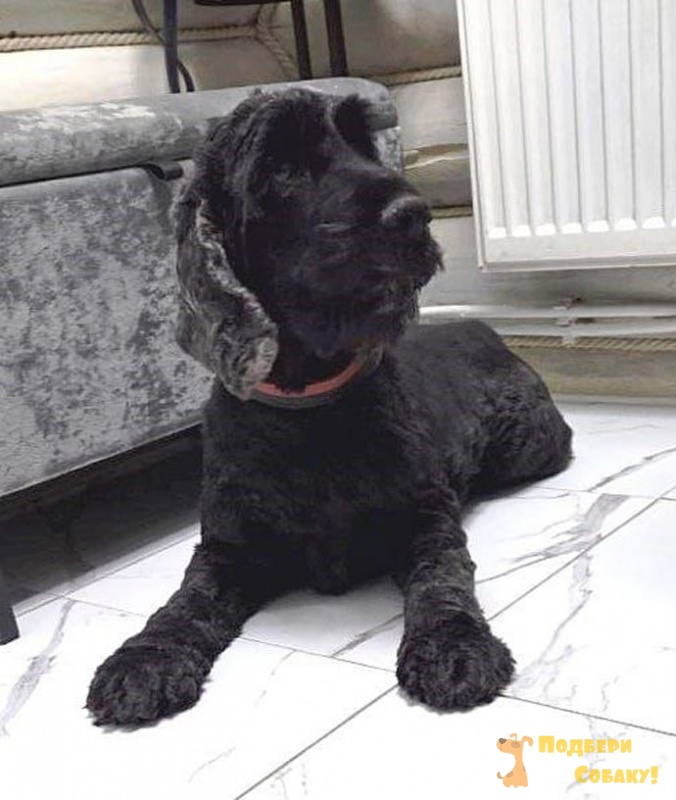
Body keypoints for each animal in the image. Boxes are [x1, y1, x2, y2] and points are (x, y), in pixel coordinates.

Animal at [86, 88, 572, 726]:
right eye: (280, 167)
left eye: (363, 145)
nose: (414, 213)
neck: (307, 407)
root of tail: (481, 325)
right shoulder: (227, 547)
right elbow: (186, 600)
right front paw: (145, 658)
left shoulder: (425, 519)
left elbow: (442, 579)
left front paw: (454, 646)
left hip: (532, 445)